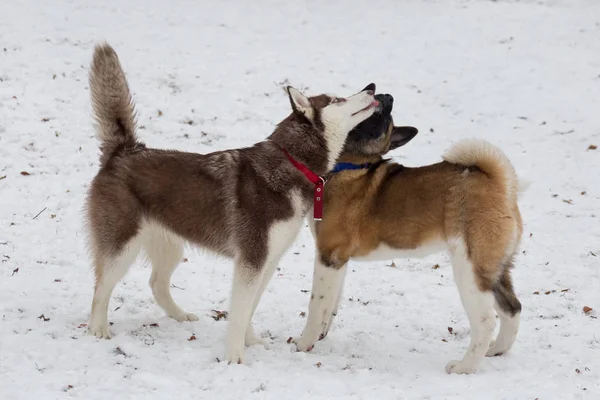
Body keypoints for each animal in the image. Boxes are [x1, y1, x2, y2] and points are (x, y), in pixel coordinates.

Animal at [85, 43, 376, 362]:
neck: (292, 162)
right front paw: (234, 357)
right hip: (122, 246)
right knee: (100, 288)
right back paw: (98, 329)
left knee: (156, 283)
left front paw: (251, 342)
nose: (372, 88)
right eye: (338, 99)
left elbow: (248, 310)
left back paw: (179, 316)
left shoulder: (267, 261)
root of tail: (124, 151)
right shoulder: (251, 260)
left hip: (170, 245)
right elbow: (239, 312)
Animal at [294, 92, 524, 374]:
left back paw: (464, 366)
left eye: (382, 119)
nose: (385, 95)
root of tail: (498, 184)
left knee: (485, 319)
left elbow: (317, 303)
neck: (351, 167)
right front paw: (321, 334)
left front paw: (304, 342)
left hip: (470, 269)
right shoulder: (338, 261)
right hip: (495, 268)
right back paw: (497, 350)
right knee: (512, 308)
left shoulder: (329, 255)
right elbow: (331, 302)